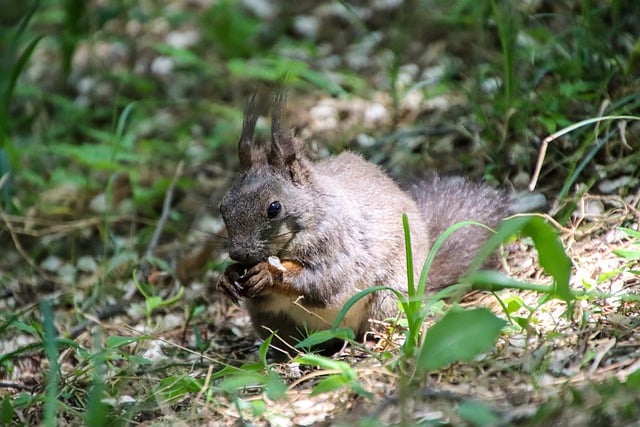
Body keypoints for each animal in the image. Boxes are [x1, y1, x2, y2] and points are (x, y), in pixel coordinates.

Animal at [218, 90, 512, 354]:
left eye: (274, 208)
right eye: (223, 207)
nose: (238, 254)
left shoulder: (339, 244)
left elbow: (323, 282)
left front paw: (268, 273)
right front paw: (228, 277)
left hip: (388, 298)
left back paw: (371, 342)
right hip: (273, 323)